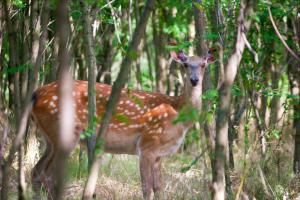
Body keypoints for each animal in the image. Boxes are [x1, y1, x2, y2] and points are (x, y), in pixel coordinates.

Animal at [29, 49, 213, 199]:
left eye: (203, 64)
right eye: (186, 64)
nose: (194, 80)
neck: (178, 114)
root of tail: (36, 94)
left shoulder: (158, 154)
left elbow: (159, 188)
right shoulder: (147, 145)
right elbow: (146, 189)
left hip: (49, 137)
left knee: (36, 171)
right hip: (63, 132)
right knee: (47, 174)